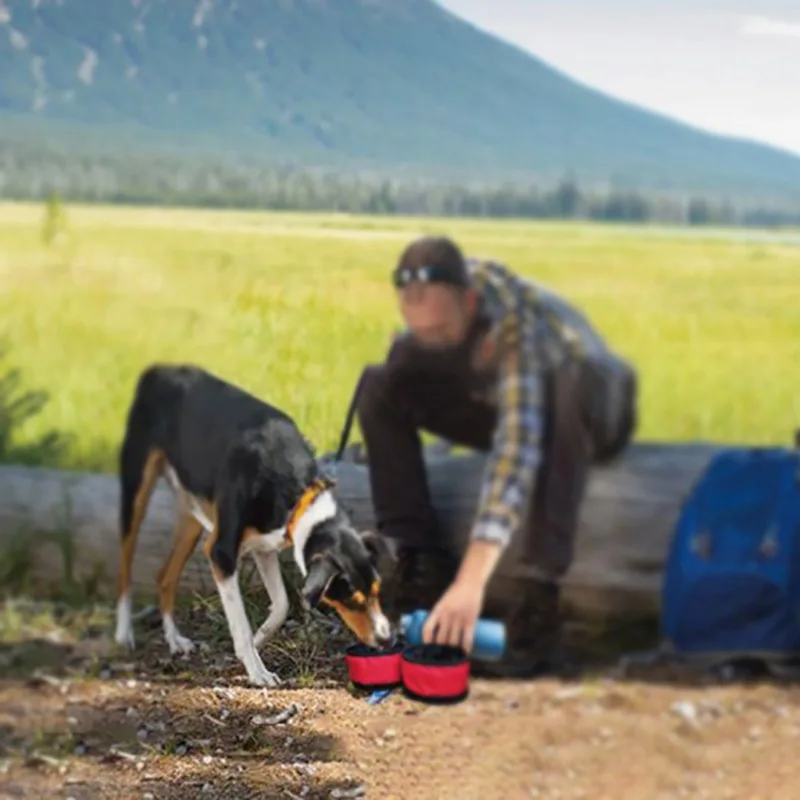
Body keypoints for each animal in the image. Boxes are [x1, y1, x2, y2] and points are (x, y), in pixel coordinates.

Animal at [112, 366, 394, 684]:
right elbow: (241, 624)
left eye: (376, 591)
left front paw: (261, 638)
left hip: (192, 515)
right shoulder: (221, 553)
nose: (387, 639)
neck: (295, 492)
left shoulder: (265, 547)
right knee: (125, 565)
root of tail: (159, 370)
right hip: (137, 491)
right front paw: (257, 669)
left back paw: (174, 639)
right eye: (352, 598)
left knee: (164, 576)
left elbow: (282, 605)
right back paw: (124, 633)